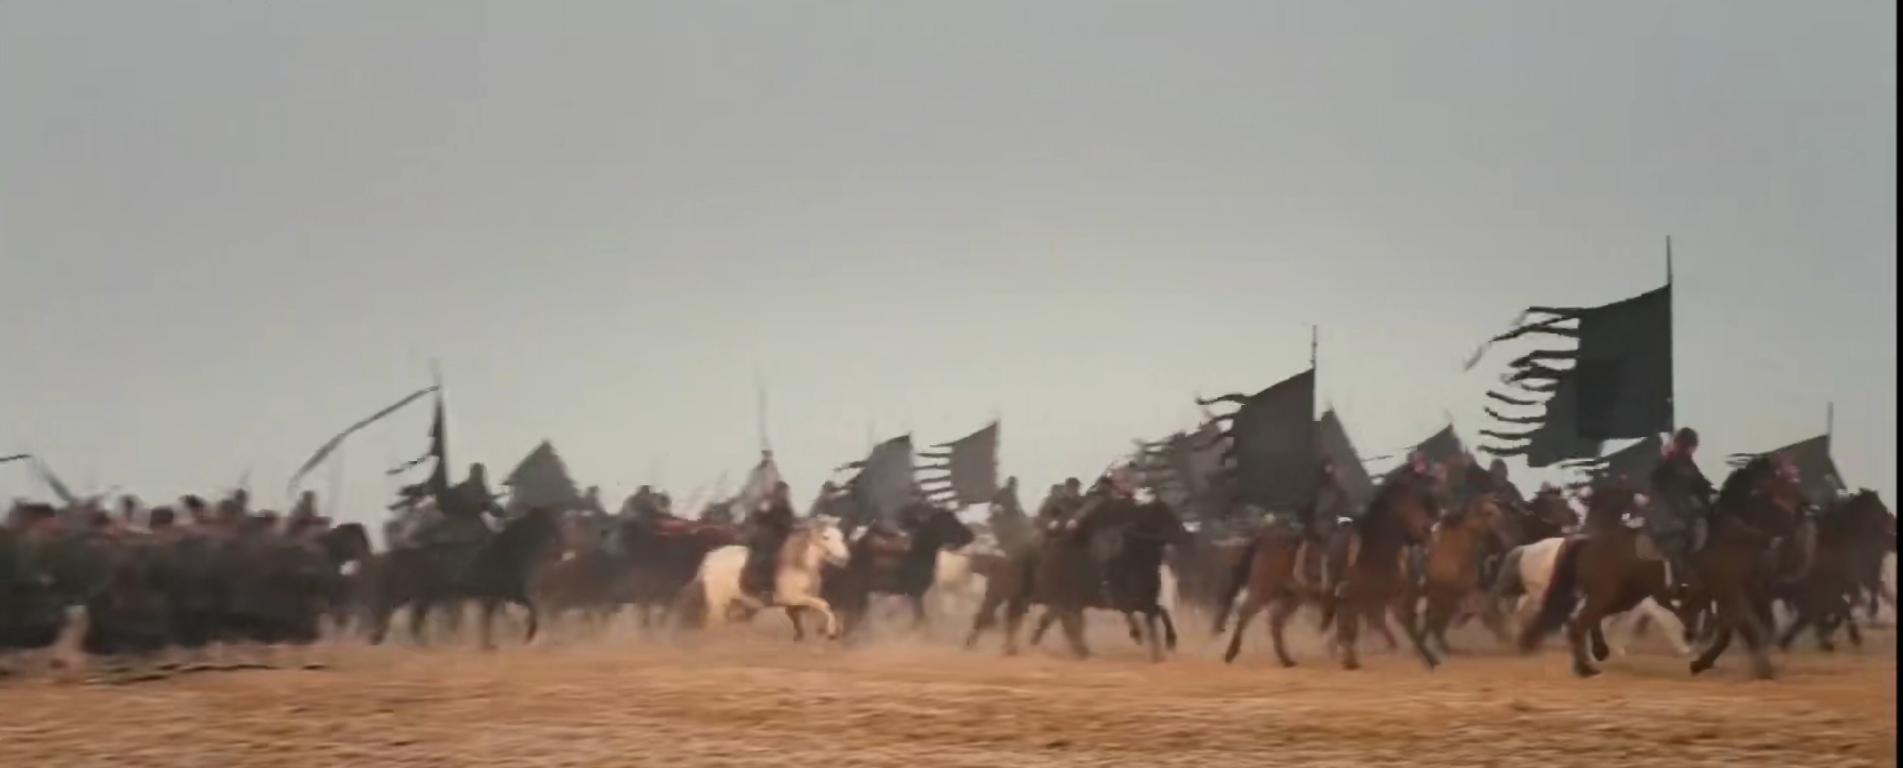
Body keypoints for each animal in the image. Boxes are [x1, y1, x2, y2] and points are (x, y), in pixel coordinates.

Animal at [681, 518, 851, 639]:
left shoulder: (799, 603)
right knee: (714, 624)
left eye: (841, 536)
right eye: (826, 537)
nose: (844, 558)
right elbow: (824, 605)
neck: (800, 565)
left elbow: (805, 617)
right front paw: (831, 632)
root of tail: (710, 559)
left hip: (734, 603)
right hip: (719, 603)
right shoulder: (793, 598)